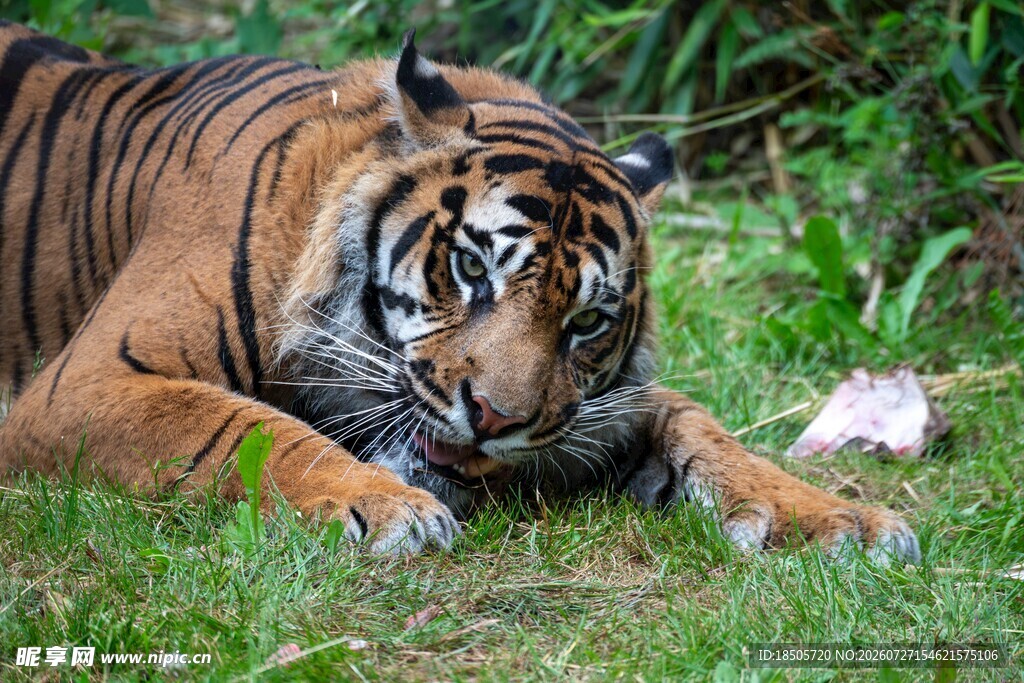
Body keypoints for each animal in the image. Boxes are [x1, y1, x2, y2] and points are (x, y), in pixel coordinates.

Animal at [0, 21, 919, 562]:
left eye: (587, 321)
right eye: (473, 268)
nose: (495, 420)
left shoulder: (593, 407)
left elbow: (701, 423)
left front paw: (837, 517)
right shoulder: (85, 381)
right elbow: (238, 426)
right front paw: (380, 506)